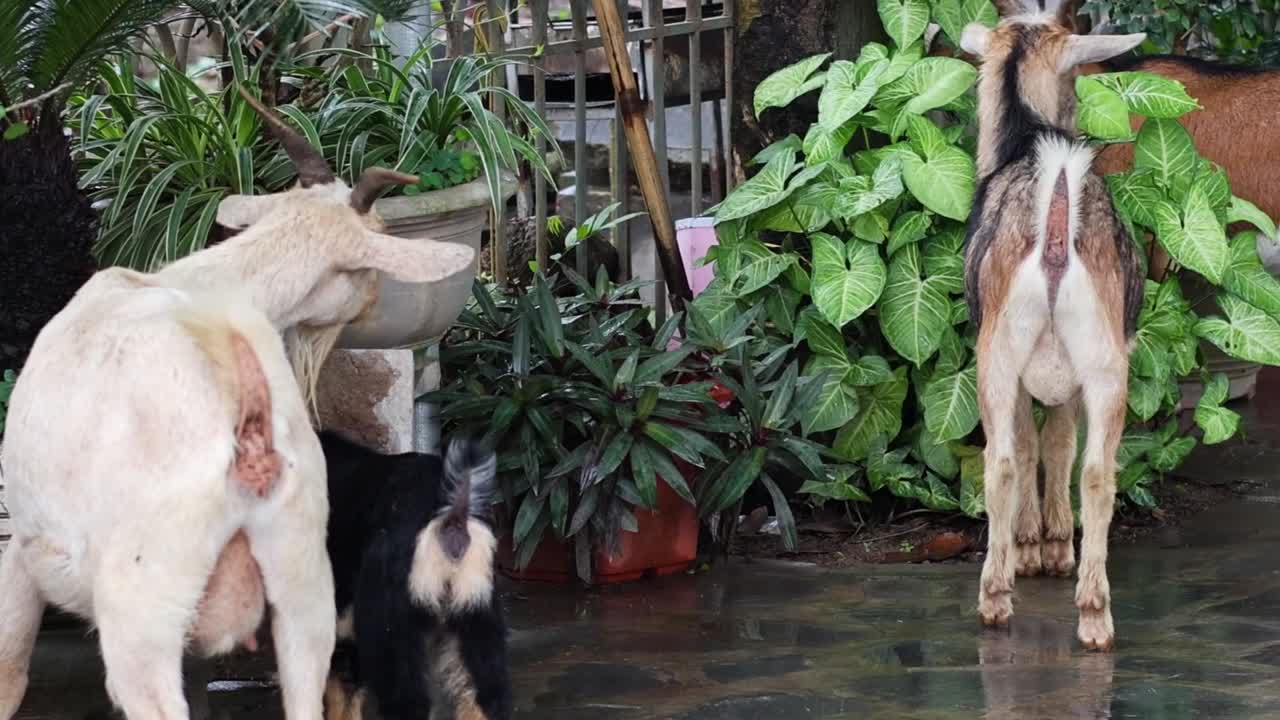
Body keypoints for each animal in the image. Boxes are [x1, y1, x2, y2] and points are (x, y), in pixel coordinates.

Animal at [0, 87, 474, 720]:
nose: (374, 300)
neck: (210, 283)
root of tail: (247, 432)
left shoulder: (20, 550)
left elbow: (8, 673)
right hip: (303, 579)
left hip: (143, 602)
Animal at [960, 0, 1146, 651]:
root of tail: (1057, 220)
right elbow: (1060, 444)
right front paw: (1052, 546)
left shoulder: (1018, 373)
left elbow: (1040, 442)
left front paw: (1036, 546)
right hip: (1105, 364)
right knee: (1096, 473)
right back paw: (1093, 613)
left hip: (995, 357)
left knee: (1001, 462)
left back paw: (997, 596)